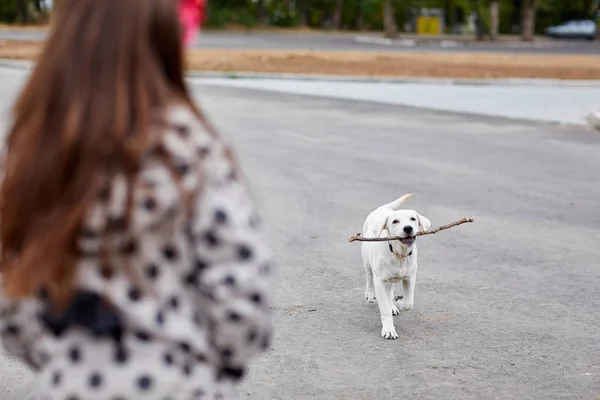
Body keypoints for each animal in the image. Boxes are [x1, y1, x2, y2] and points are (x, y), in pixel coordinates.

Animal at [360, 195, 432, 340]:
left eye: (413, 219)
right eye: (395, 221)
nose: (408, 228)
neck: (400, 254)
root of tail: (381, 209)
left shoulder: (410, 277)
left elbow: (409, 303)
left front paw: (398, 303)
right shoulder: (380, 281)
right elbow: (384, 309)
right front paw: (388, 329)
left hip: (391, 278)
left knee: (390, 290)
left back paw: (393, 304)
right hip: (367, 260)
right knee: (369, 276)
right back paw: (370, 294)